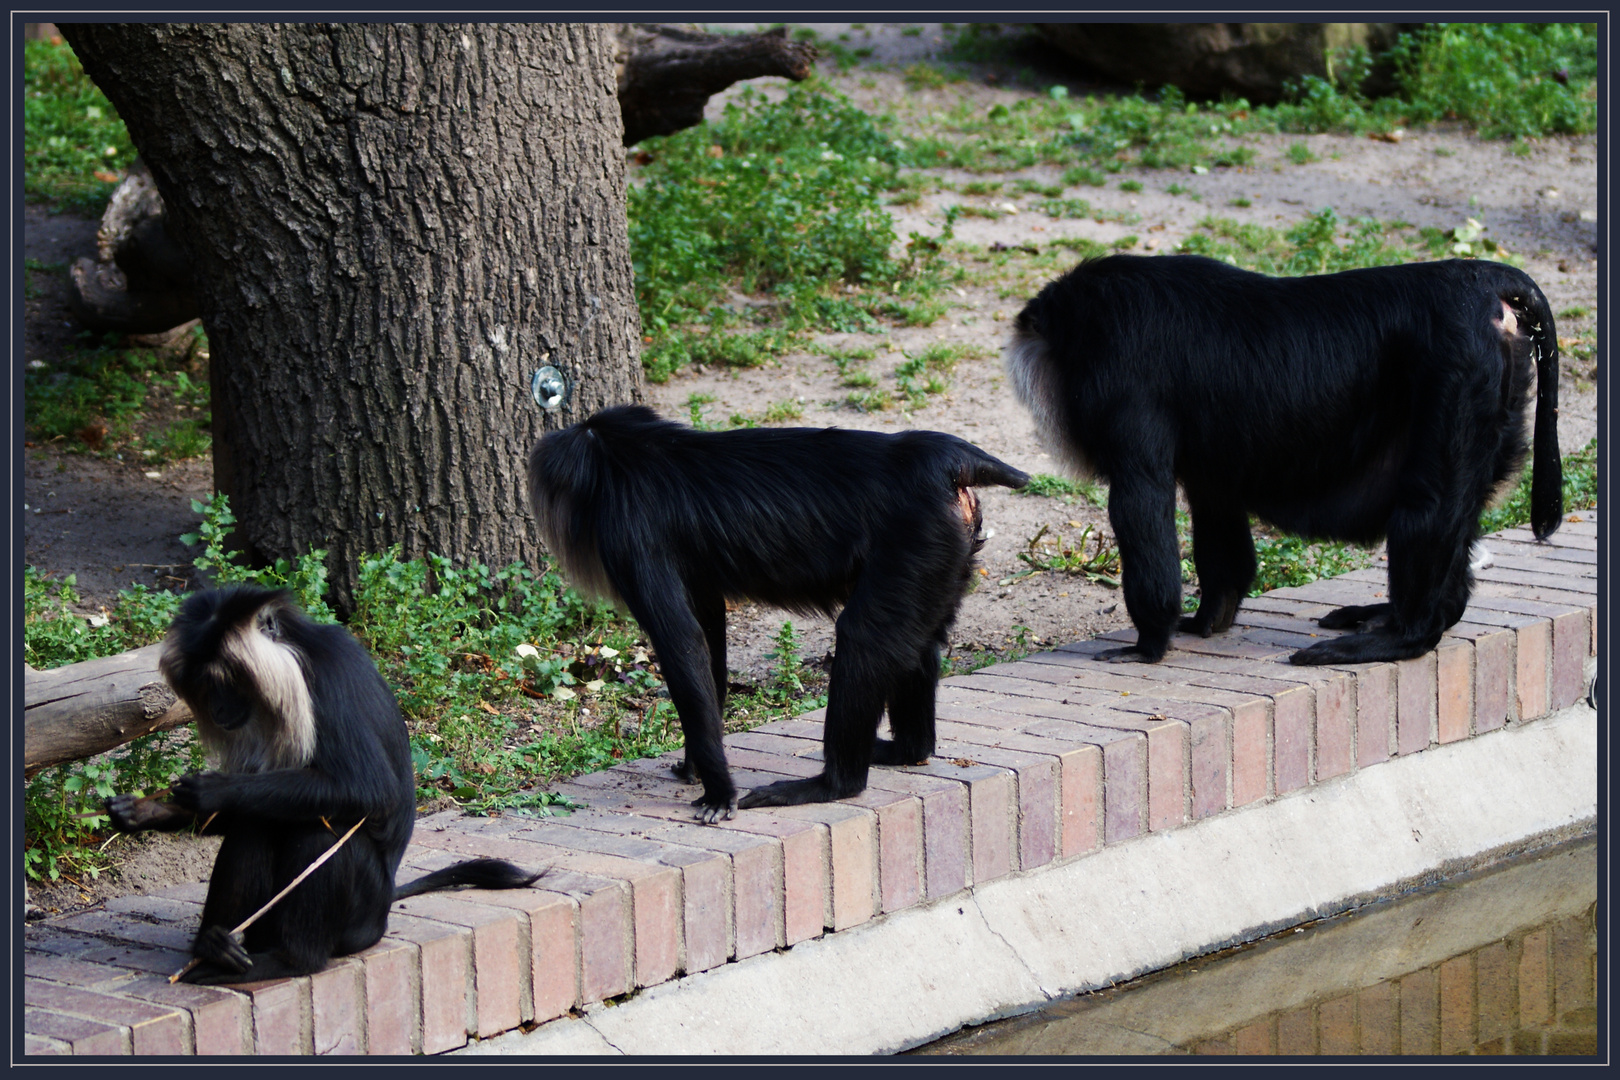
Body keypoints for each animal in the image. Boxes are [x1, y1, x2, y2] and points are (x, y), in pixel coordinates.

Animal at [104, 586, 541, 984]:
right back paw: (214, 948)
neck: (299, 657)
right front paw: (145, 810)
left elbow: (369, 789)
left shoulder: (327, 683)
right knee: (254, 822)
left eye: (227, 680)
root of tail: (385, 904)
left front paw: (212, 790)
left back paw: (290, 960)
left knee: (319, 829)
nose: (218, 709)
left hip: (361, 917)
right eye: (204, 687)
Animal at [524, 404, 1030, 819]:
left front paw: (718, 792)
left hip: (918, 538)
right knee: (918, 641)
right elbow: (707, 638)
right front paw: (695, 766)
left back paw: (834, 784)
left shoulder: (625, 531)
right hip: (948, 553)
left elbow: (681, 643)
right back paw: (907, 750)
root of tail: (945, 457)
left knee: (865, 636)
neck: (636, 448)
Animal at [1004, 254, 1561, 667]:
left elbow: (1142, 500)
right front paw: (1209, 620)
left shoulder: (1119, 378)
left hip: (1458, 371)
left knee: (1429, 508)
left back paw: (1403, 637)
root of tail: (1482, 281)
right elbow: (1216, 507)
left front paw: (1148, 645)